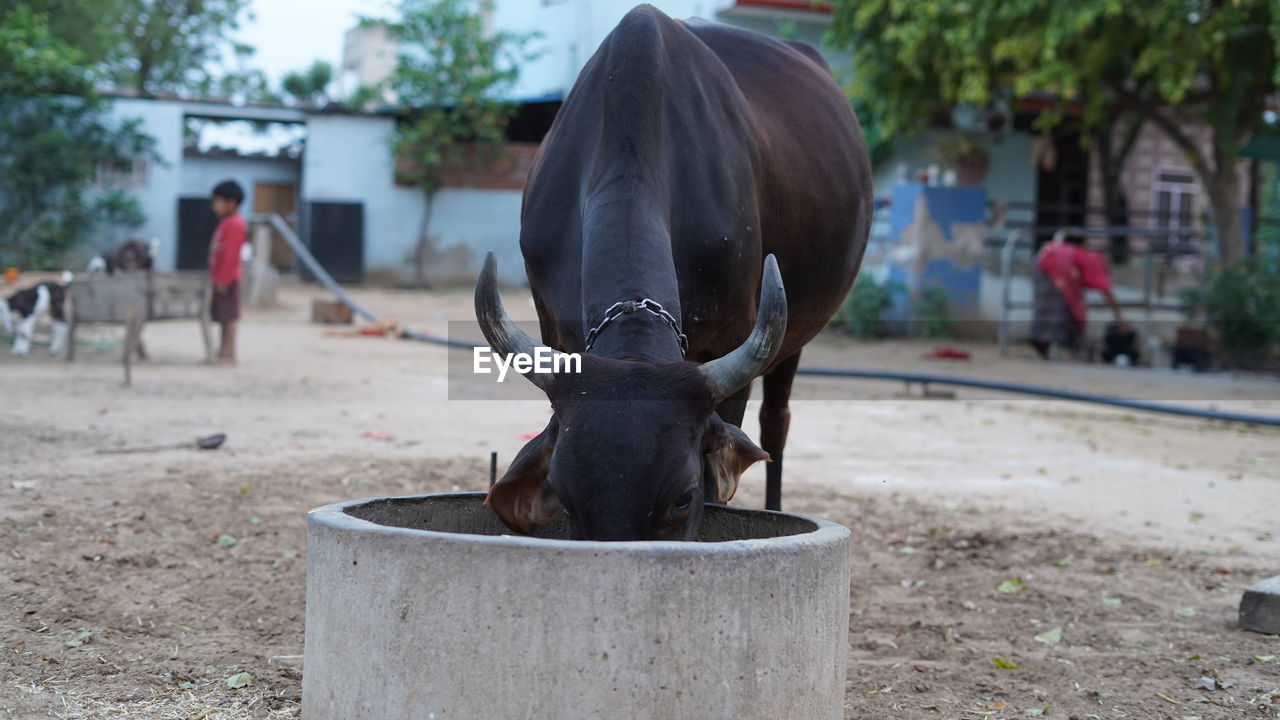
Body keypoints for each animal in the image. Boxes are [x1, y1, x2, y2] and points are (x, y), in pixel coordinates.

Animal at [473, 5, 872, 541]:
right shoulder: (556, 333)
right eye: (562, 494)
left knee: (777, 423)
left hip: (795, 341)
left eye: (682, 499)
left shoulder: (732, 340)